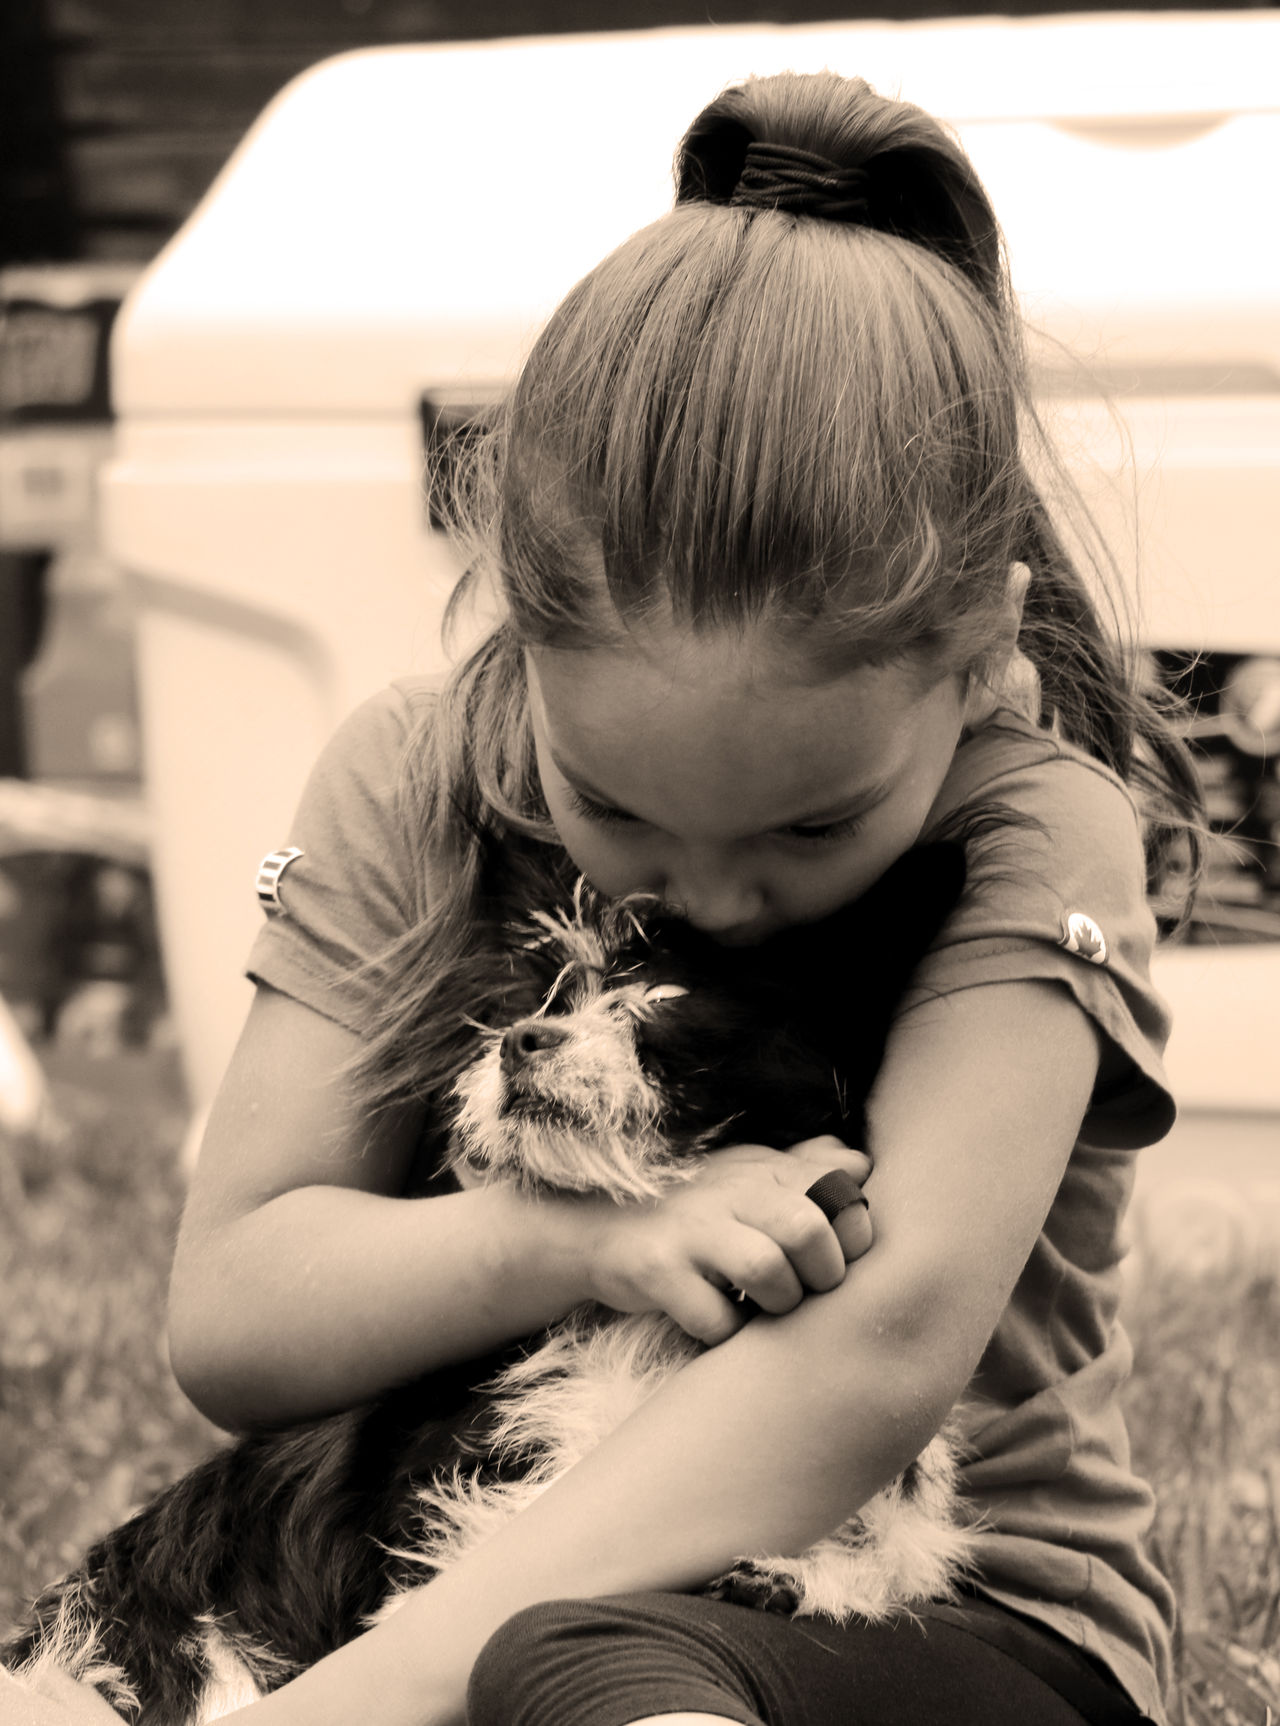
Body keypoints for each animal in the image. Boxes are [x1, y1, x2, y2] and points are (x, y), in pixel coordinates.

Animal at [5, 831, 979, 1712]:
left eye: (666, 996)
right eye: (549, 991)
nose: (521, 1039)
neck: (654, 1329)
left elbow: (896, 1548)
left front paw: (804, 1576)